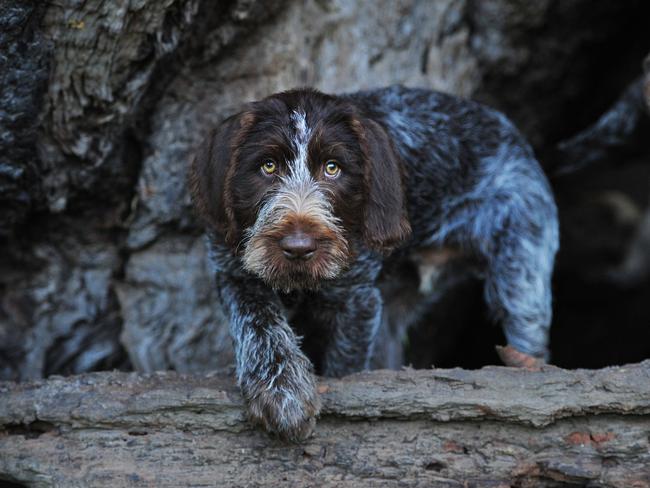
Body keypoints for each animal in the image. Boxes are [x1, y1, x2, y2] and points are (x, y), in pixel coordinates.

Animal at [189, 86, 556, 440]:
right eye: (268, 166)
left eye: (333, 168)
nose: (298, 247)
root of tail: (510, 131)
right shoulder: (232, 270)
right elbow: (256, 322)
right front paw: (281, 390)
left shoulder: (357, 300)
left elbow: (344, 366)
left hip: (522, 262)